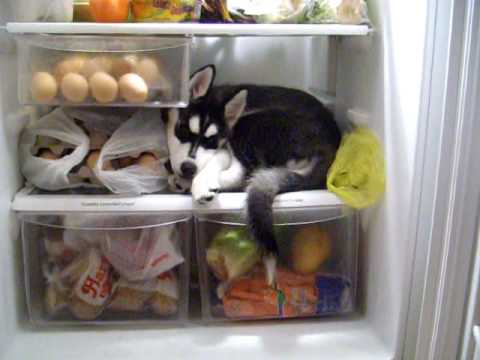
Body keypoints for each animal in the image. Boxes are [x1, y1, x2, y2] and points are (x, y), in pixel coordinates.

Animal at [165, 64, 342, 284]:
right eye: (182, 130)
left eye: (211, 141)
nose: (188, 168)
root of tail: (330, 148)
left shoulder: (225, 145)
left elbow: (219, 159)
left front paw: (200, 181)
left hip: (250, 125)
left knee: (243, 173)